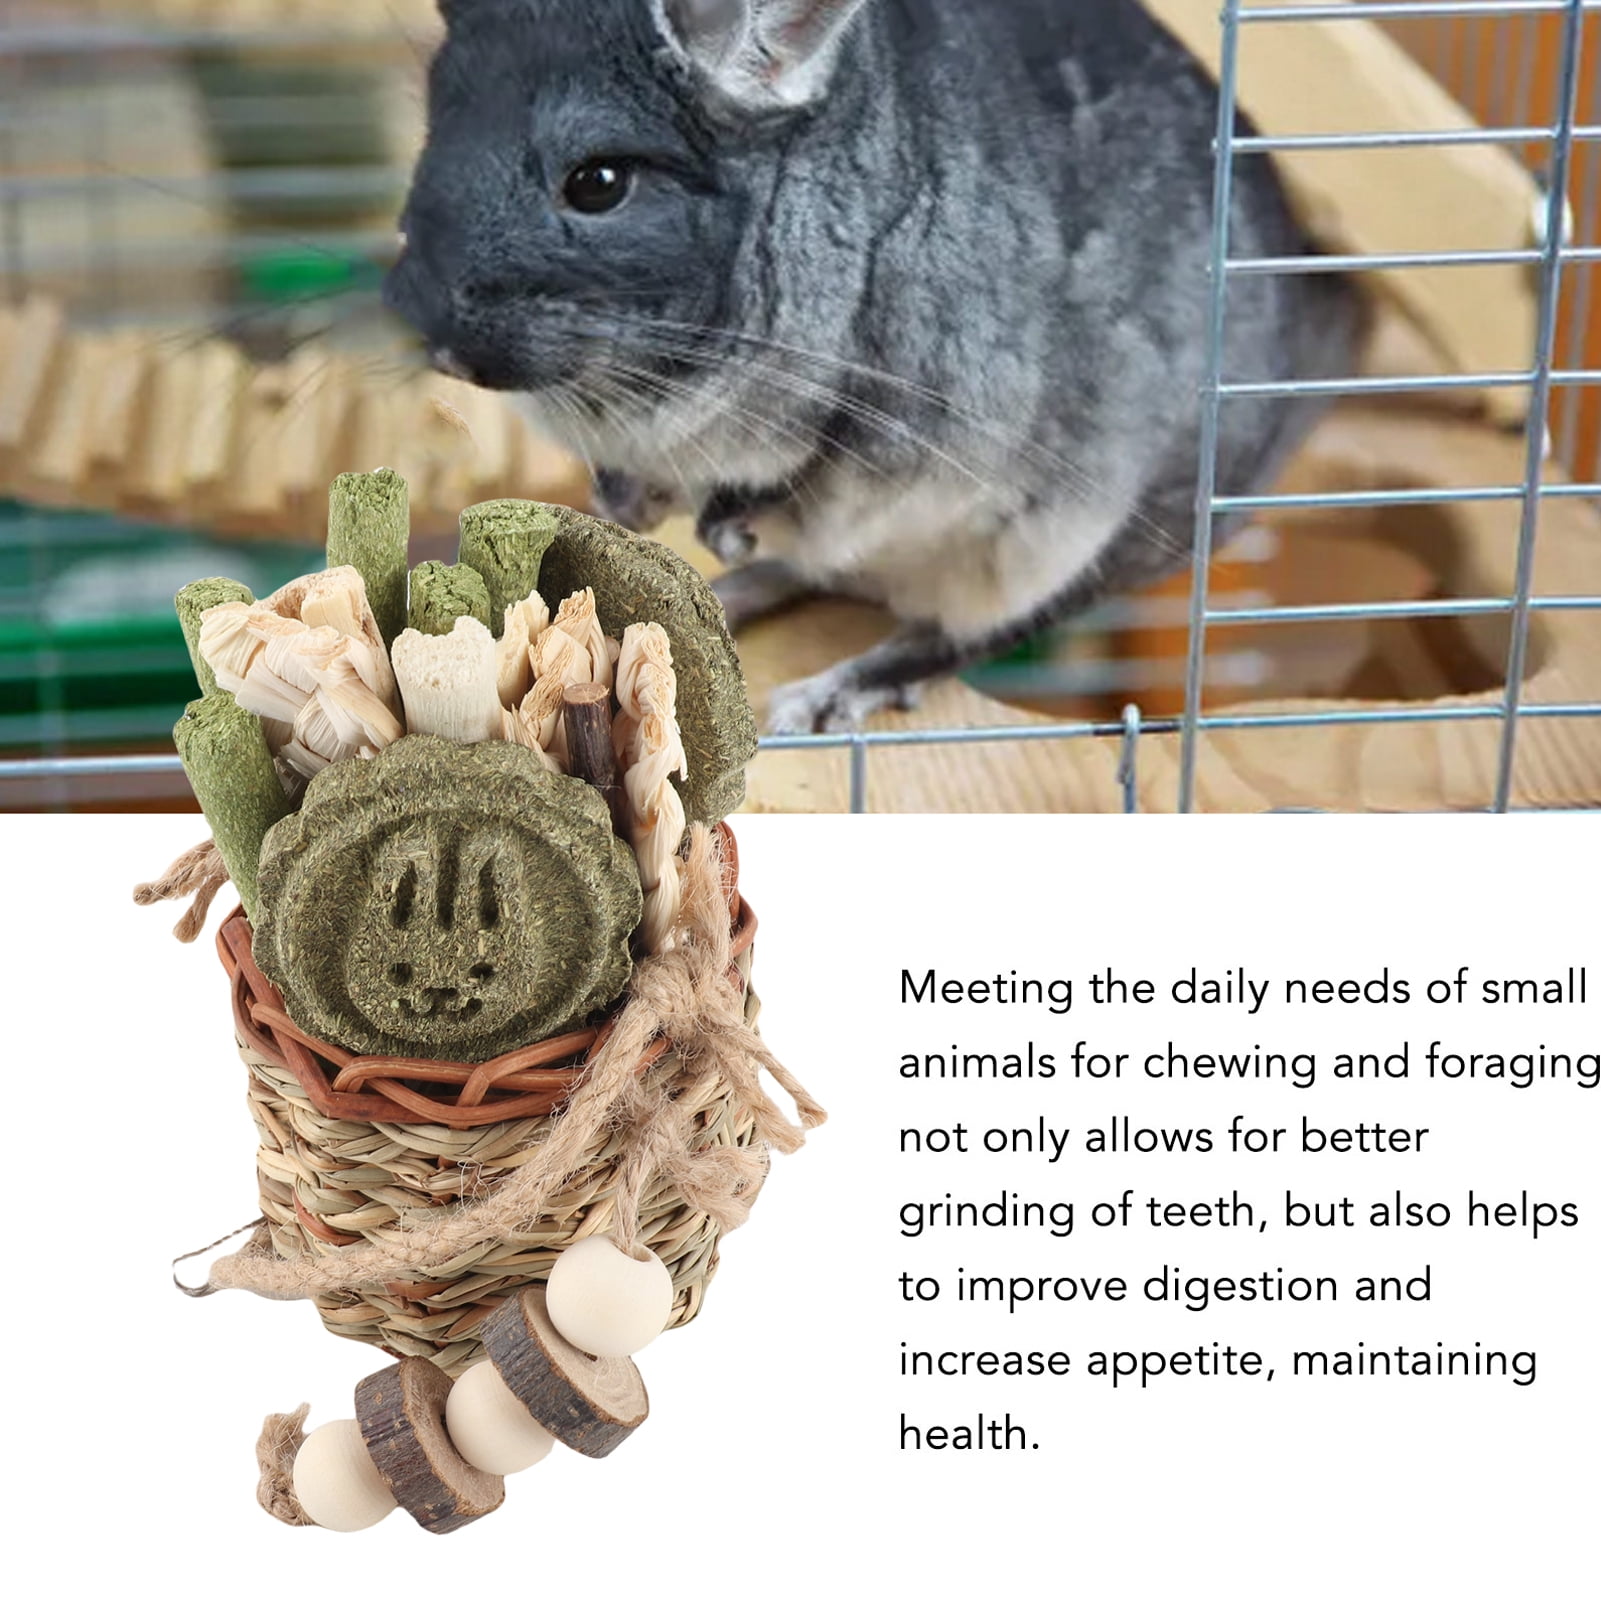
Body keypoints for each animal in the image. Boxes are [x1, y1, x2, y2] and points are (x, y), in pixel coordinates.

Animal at [385, 0, 1361, 732]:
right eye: (431, 142)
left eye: (597, 183)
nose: (437, 339)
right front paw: (630, 502)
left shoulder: (915, 416)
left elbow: (817, 476)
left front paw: (729, 525)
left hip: (1074, 540)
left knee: (962, 628)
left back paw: (822, 687)